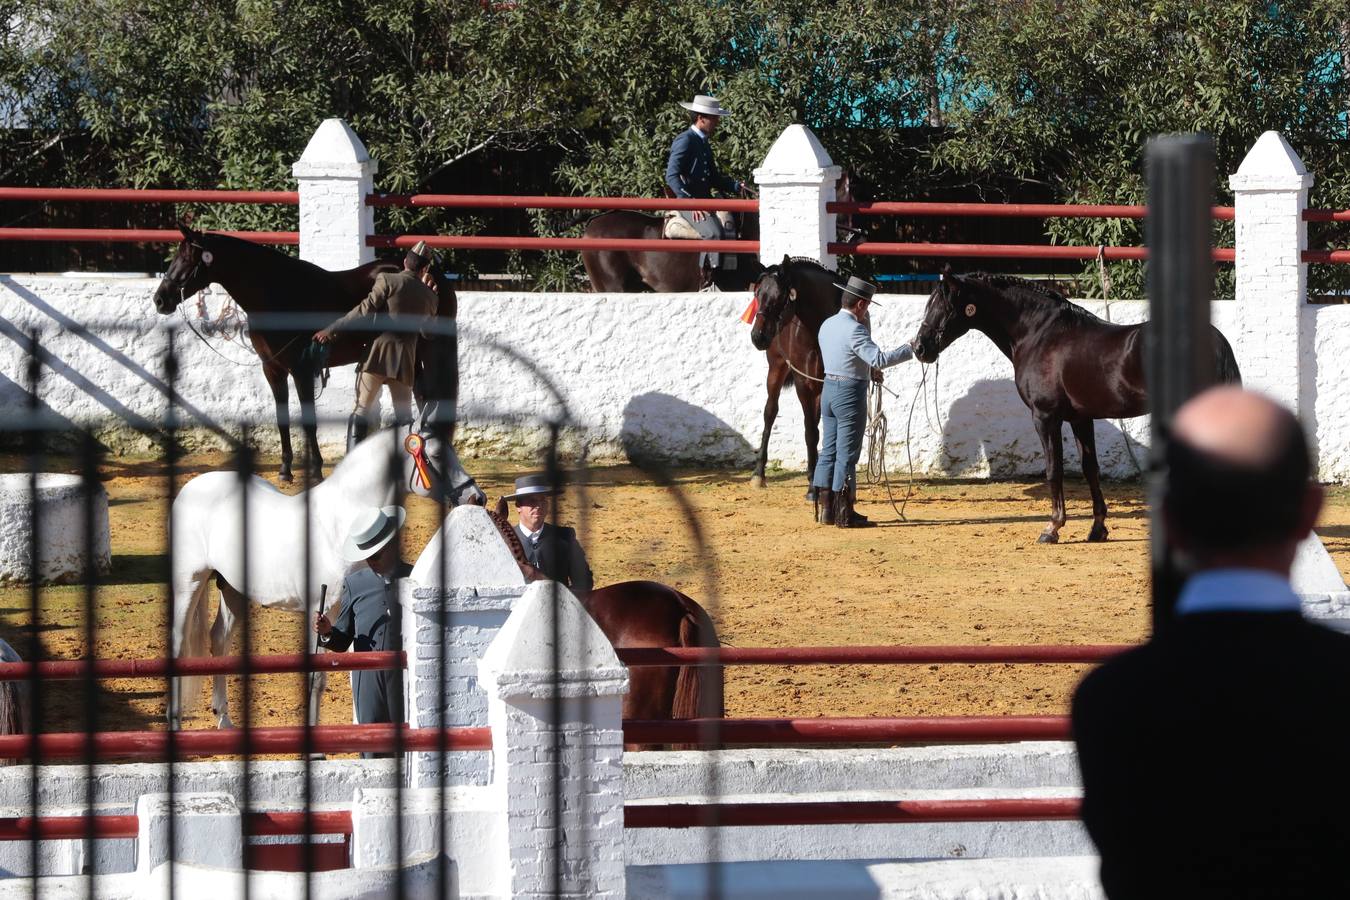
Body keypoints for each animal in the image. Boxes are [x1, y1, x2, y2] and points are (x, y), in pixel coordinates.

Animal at [152, 229, 456, 483]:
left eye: (188, 259)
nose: (160, 300)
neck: (278, 294)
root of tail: (434, 277)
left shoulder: (302, 370)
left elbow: (309, 421)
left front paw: (317, 470)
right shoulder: (273, 370)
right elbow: (282, 418)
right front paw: (285, 470)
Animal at [168, 426, 486, 728]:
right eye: (437, 455)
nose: (477, 498)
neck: (340, 524)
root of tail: (190, 489)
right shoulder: (320, 610)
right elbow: (317, 678)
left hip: (233, 589)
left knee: (219, 639)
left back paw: (224, 719)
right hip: (189, 583)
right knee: (179, 642)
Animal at [750, 256, 842, 504]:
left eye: (780, 297)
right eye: (757, 293)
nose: (757, 336)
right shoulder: (805, 384)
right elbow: (810, 432)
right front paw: (812, 487)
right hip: (776, 369)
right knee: (770, 412)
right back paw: (759, 474)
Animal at [912, 271, 1236, 542]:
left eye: (941, 306)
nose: (919, 348)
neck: (1039, 334)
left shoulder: (1045, 417)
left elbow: (1053, 469)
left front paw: (1052, 528)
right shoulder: (1081, 419)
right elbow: (1090, 469)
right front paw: (1098, 529)